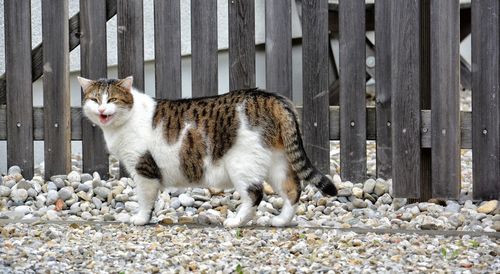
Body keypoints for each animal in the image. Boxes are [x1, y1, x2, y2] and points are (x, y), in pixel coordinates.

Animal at [77, 76, 336, 228]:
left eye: (112, 99)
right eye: (94, 99)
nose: (101, 109)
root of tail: (271, 97)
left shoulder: (144, 169)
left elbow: (144, 199)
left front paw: (140, 219)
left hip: (242, 162)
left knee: (255, 194)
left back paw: (235, 222)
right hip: (277, 162)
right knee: (293, 189)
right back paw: (281, 221)